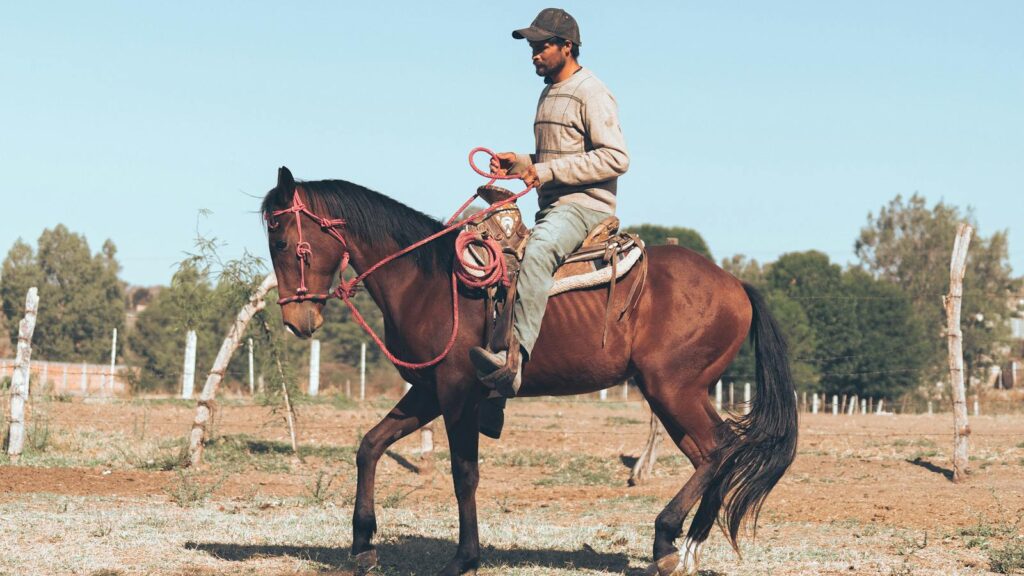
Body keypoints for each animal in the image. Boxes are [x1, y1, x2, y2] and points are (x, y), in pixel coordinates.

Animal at [261, 166, 798, 576]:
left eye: (284, 241)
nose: (296, 320)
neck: (427, 280)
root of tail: (737, 285)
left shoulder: (457, 392)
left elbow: (464, 473)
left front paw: (464, 558)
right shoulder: (430, 390)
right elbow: (370, 446)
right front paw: (362, 545)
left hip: (672, 389)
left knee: (720, 449)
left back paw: (670, 536)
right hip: (677, 393)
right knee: (714, 454)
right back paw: (682, 549)